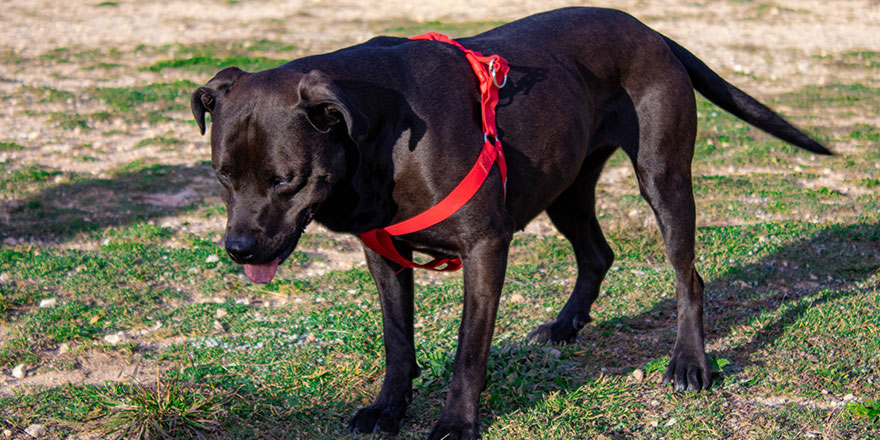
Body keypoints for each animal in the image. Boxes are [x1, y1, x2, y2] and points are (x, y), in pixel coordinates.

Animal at [189, 7, 828, 440]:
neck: (384, 132)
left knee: (687, 276)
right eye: (221, 175)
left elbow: (470, 349)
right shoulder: (385, 256)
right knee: (597, 254)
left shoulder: (485, 247)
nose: (238, 249)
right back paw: (566, 326)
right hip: (565, 188)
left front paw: (456, 422)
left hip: (664, 180)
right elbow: (398, 340)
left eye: (284, 179)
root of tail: (650, 30)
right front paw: (388, 408)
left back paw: (690, 364)